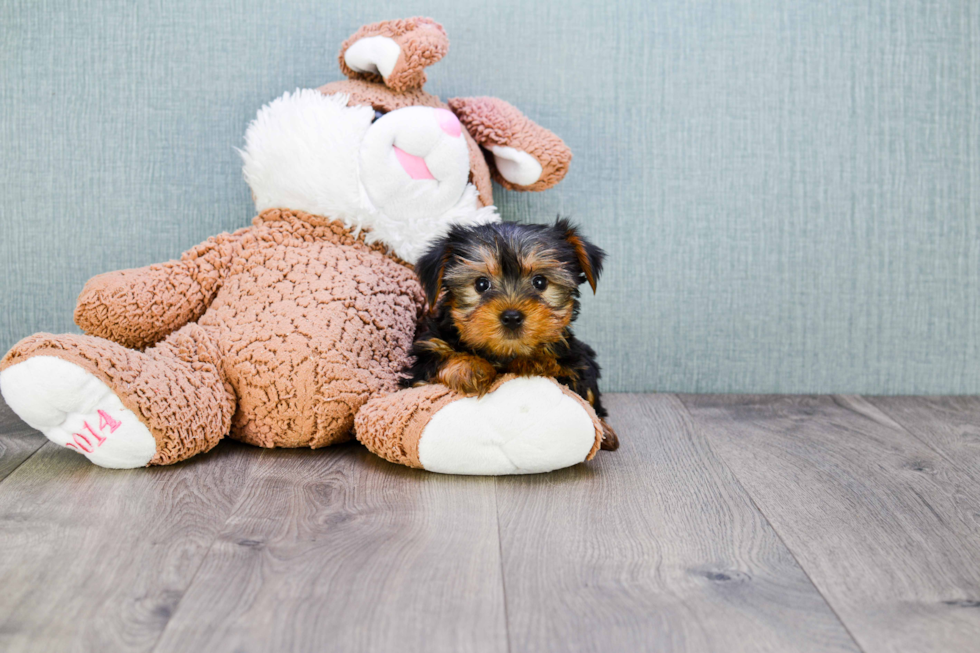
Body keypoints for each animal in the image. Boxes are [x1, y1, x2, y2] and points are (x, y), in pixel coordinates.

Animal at [400, 216, 616, 450]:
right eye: (481, 284)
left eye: (540, 281)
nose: (512, 317)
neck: (505, 353)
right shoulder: (426, 353)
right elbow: (438, 359)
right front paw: (470, 367)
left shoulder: (579, 361)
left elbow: (583, 394)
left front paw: (537, 361)